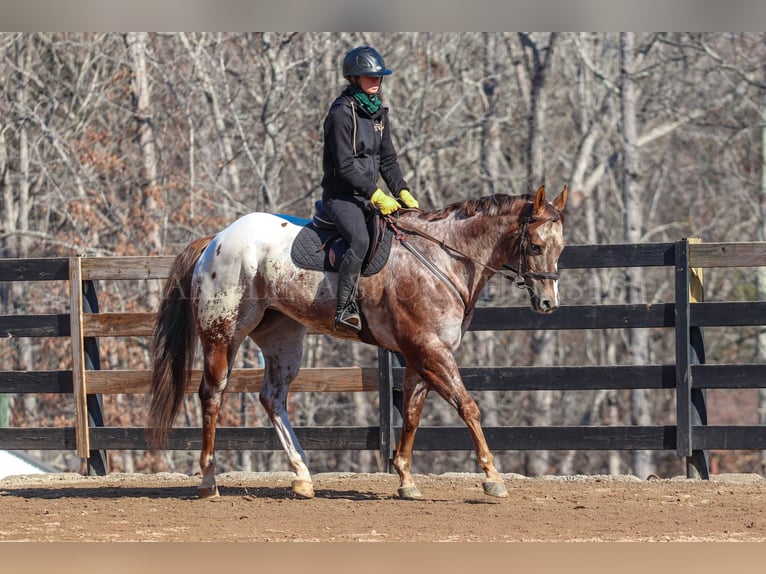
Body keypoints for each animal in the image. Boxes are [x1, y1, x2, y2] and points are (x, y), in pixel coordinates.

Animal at [150, 184, 568, 500]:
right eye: (534, 246)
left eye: (560, 248)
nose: (549, 303)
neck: (441, 257)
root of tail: (216, 240)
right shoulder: (430, 350)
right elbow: (468, 407)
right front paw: (492, 477)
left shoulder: (419, 354)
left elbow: (412, 413)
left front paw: (405, 478)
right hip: (223, 334)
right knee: (212, 394)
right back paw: (209, 481)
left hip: (282, 337)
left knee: (272, 398)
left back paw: (302, 476)